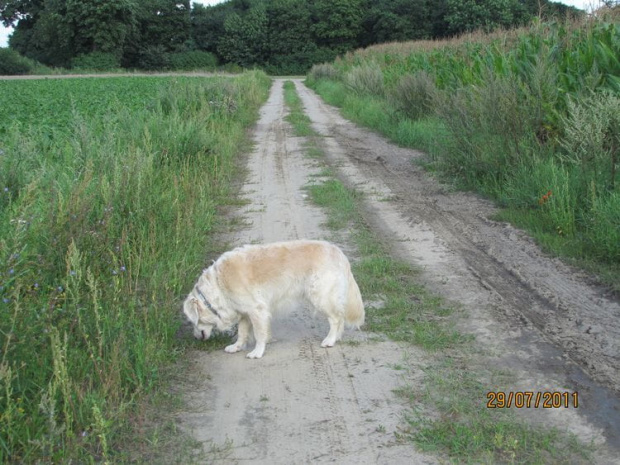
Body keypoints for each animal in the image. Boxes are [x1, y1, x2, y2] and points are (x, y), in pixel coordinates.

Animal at [185, 241, 368, 358]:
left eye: (192, 321)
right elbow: (242, 333)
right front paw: (237, 347)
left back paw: (329, 340)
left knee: (336, 319)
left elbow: (259, 334)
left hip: (320, 296)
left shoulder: (257, 310)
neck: (219, 285)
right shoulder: (245, 313)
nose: (194, 337)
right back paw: (335, 338)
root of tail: (339, 253)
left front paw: (257, 352)